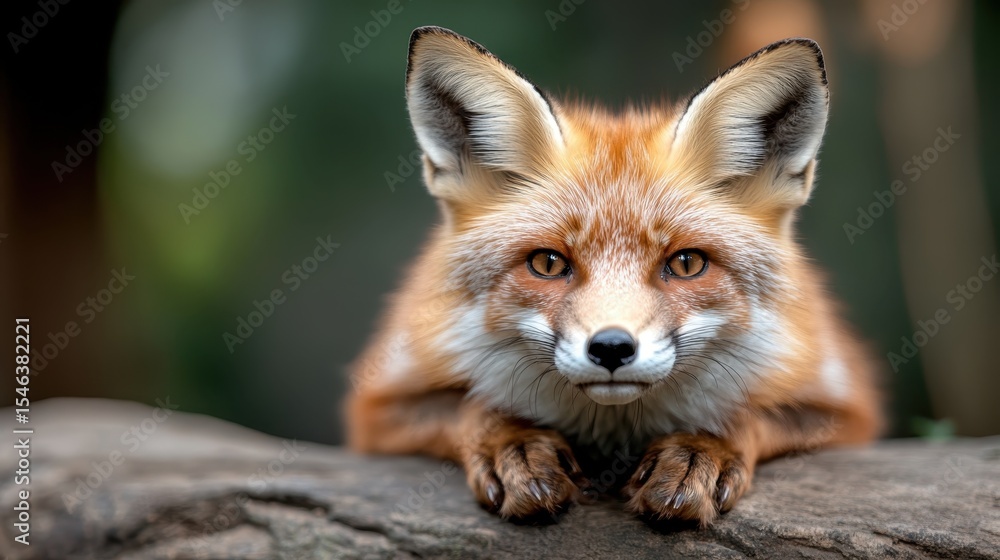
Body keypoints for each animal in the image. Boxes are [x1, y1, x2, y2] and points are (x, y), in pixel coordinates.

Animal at [346, 26, 883, 526]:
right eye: (548, 263)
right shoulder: (376, 407)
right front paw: (512, 445)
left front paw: (700, 450)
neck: (612, 427)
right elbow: (470, 408)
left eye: (686, 264)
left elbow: (744, 412)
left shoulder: (846, 407)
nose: (610, 349)